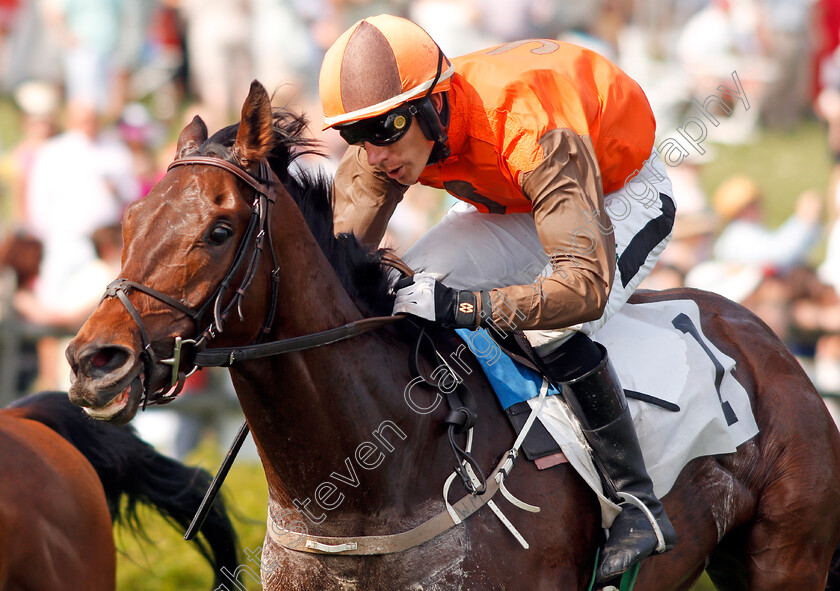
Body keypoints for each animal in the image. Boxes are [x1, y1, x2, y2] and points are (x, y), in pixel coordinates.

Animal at [69, 80, 840, 591]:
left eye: (220, 228)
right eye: (131, 220)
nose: (93, 361)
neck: (366, 487)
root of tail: (763, 336)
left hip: (787, 558)